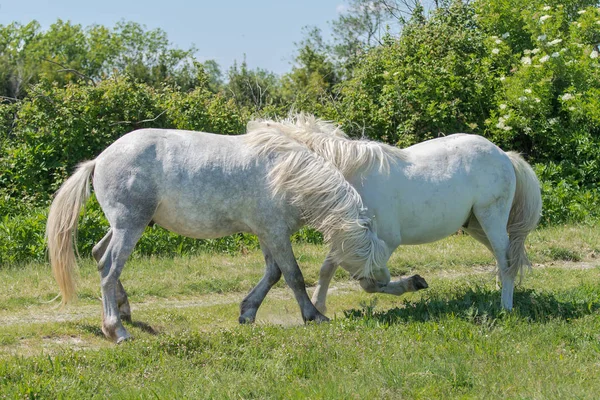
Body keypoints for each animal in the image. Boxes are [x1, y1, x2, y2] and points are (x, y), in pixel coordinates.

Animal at [47, 126, 394, 342]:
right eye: (370, 254)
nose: (382, 283)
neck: (289, 176)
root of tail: (99, 159)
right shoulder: (275, 232)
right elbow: (293, 276)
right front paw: (313, 315)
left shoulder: (266, 233)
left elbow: (273, 274)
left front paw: (247, 312)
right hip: (129, 226)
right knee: (109, 269)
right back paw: (116, 330)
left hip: (125, 225)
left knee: (99, 256)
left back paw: (124, 311)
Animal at [246, 115, 540, 316]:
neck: (350, 178)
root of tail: (504, 155)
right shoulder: (348, 239)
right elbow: (327, 269)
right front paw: (319, 308)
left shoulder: (383, 243)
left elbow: (370, 283)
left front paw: (413, 283)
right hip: (475, 225)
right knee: (504, 259)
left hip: (491, 217)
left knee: (506, 259)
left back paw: (505, 307)